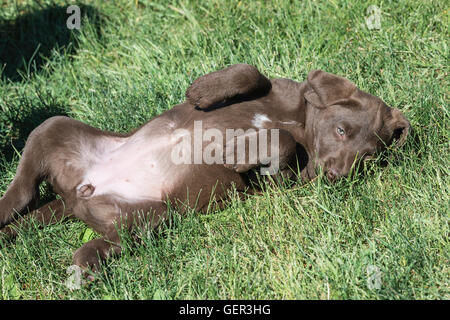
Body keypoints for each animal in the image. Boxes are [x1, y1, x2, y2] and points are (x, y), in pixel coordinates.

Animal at [0, 64, 412, 272]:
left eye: (367, 158)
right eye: (341, 130)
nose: (334, 177)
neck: (298, 120)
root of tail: (79, 194)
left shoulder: (281, 182)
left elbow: (280, 140)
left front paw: (233, 152)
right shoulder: (277, 91)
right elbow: (253, 73)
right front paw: (204, 90)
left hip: (153, 215)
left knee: (111, 240)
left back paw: (83, 267)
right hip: (54, 126)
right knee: (22, 189)